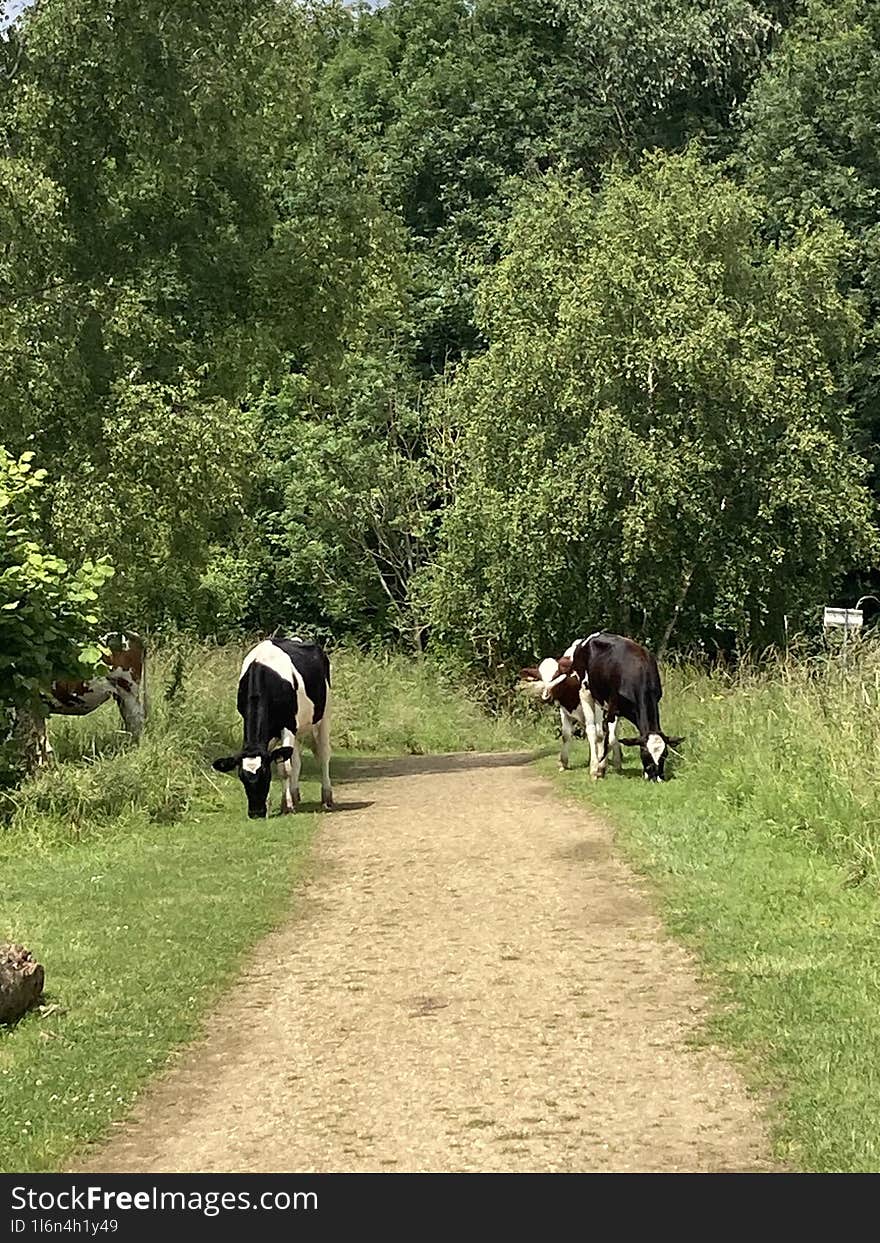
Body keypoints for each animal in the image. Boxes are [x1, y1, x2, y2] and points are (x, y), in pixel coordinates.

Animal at [212, 641, 333, 815]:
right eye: (241, 777)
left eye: (265, 774)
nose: (256, 813)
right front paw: (271, 804)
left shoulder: (287, 725)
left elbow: (285, 769)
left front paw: (287, 805)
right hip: (297, 728)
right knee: (296, 760)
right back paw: (295, 794)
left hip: (324, 714)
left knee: (323, 755)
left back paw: (326, 797)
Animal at [522, 626, 681, 780]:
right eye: (645, 753)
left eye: (665, 754)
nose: (656, 777)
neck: (638, 672)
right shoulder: (610, 706)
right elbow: (602, 737)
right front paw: (598, 768)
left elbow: (612, 737)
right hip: (587, 694)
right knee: (593, 731)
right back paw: (594, 765)